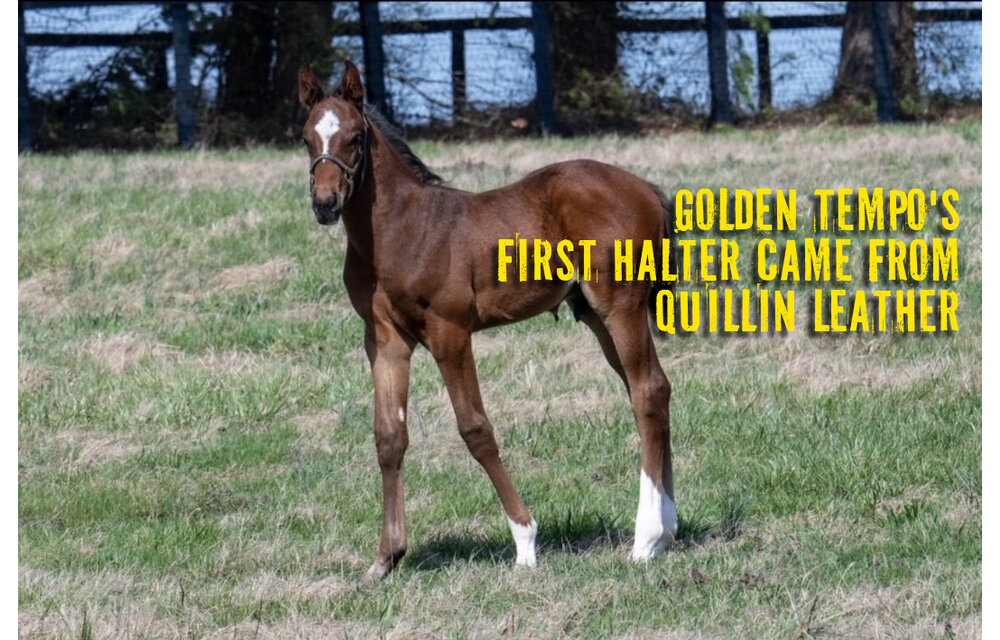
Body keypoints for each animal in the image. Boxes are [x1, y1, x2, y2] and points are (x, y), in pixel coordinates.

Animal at [299, 61, 676, 580]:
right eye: (306, 139)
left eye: (355, 138)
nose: (325, 203)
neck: (401, 230)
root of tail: (646, 190)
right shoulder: (385, 340)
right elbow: (389, 436)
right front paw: (385, 559)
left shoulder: (450, 331)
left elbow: (475, 429)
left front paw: (525, 543)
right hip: (597, 316)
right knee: (656, 388)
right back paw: (668, 530)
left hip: (619, 307)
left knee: (646, 391)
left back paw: (646, 539)